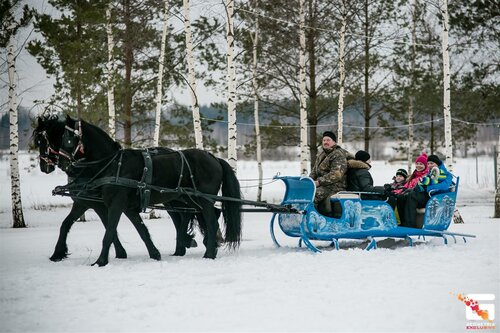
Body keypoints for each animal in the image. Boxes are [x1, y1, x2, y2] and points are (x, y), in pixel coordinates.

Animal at [34, 116, 163, 262]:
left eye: (41, 141)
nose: (43, 167)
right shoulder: (82, 203)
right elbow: (65, 224)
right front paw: (57, 253)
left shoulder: (99, 205)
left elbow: (109, 227)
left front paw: (120, 253)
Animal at [58, 115, 242, 266]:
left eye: (68, 138)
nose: (62, 163)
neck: (114, 164)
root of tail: (214, 158)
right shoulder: (126, 207)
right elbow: (141, 230)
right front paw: (154, 254)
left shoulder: (116, 204)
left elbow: (109, 232)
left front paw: (100, 261)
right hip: (190, 199)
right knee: (205, 216)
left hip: (202, 199)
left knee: (210, 222)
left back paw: (209, 253)